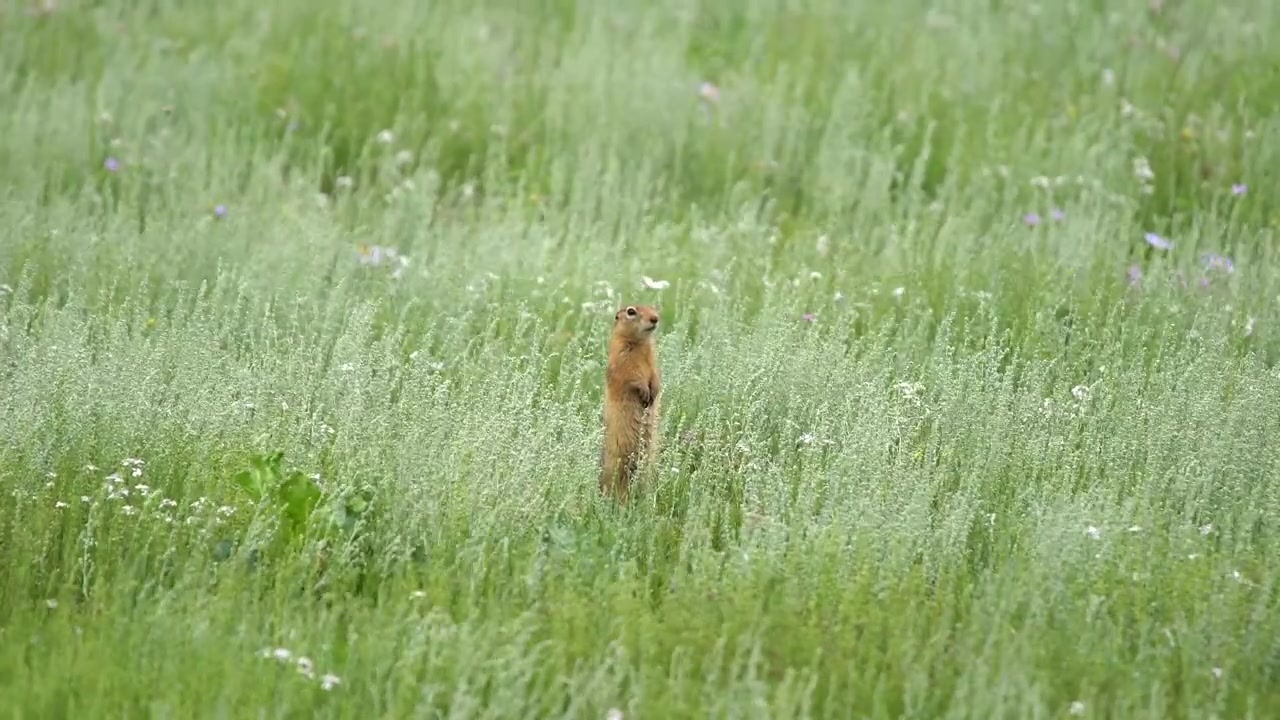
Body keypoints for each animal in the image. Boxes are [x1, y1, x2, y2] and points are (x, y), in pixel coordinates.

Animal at [598, 304, 662, 502]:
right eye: (631, 312)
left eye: (653, 307)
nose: (655, 318)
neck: (641, 344)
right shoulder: (622, 358)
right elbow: (632, 376)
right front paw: (644, 391)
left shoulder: (652, 360)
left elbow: (655, 375)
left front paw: (654, 391)